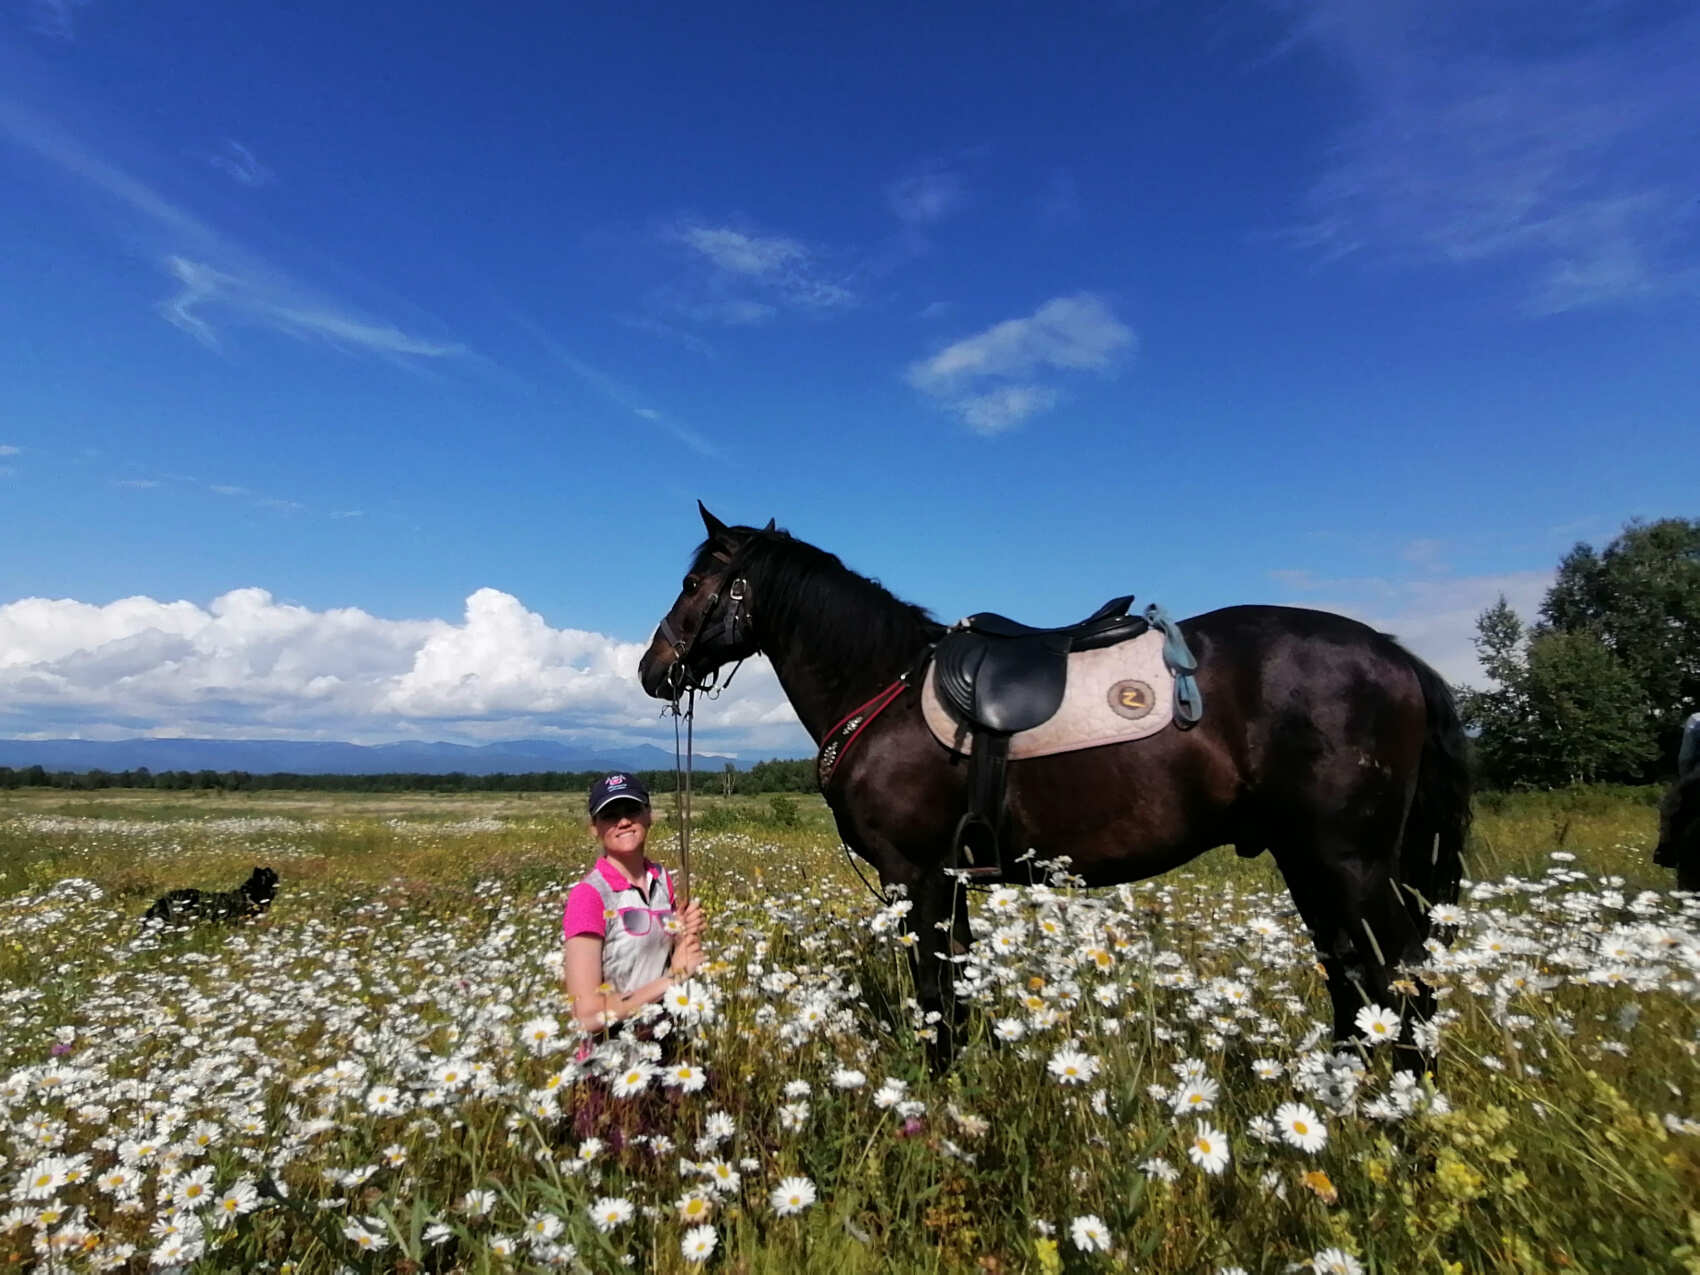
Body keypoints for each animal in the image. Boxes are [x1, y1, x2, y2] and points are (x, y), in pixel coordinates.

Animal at [639, 503, 1475, 1074]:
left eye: (693, 581)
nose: (652, 669)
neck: (886, 686)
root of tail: (1396, 656)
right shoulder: (952, 877)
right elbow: (958, 985)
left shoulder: (918, 876)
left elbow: (935, 991)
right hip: (1312, 861)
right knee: (1353, 972)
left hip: (1348, 862)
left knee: (1396, 975)